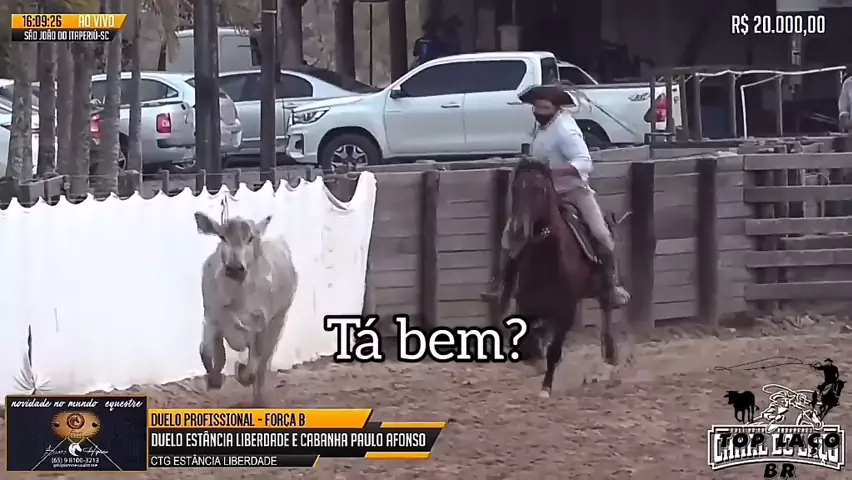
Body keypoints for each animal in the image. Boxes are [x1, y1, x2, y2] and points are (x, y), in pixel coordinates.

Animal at [194, 212, 299, 407]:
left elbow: (254, 364)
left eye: (250, 238)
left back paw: (259, 398)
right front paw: (214, 379)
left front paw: (240, 370)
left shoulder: (260, 324)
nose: (235, 268)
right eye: (222, 237)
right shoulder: (211, 317)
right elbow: (206, 350)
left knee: (263, 362)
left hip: (279, 319)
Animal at [499, 158, 632, 398]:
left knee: (607, 307)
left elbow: (554, 350)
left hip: (600, 285)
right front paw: (535, 358)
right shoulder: (526, 305)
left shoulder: (566, 312)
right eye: (514, 188)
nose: (517, 231)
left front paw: (545, 387)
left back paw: (610, 352)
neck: (547, 257)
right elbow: (529, 341)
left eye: (540, 189)